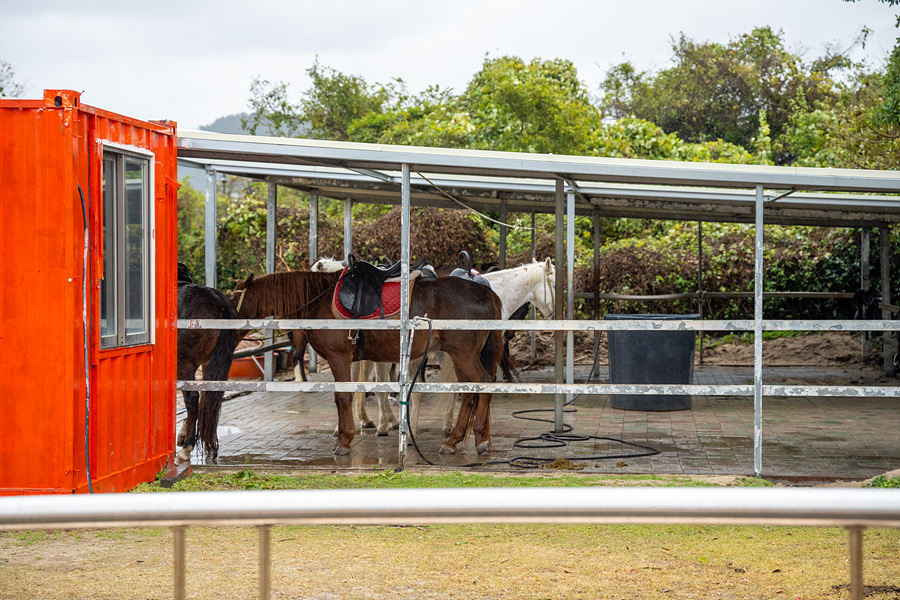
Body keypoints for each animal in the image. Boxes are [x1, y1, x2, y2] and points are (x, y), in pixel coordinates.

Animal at [200, 270, 512, 458]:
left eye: (232, 302)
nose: (222, 328)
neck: (320, 302)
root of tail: (488, 293)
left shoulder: (339, 357)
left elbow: (342, 398)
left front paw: (344, 440)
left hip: (462, 353)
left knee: (480, 386)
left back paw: (467, 440)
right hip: (461, 355)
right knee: (473, 391)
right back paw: (465, 439)